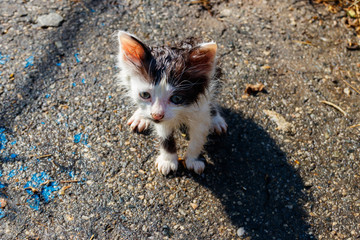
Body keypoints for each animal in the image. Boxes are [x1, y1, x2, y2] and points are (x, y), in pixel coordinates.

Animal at [116, 31, 226, 175]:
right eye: (145, 95)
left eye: (176, 99)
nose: (156, 115)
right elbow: (165, 134)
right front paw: (168, 160)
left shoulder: (200, 107)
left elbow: (198, 134)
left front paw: (193, 159)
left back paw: (216, 120)